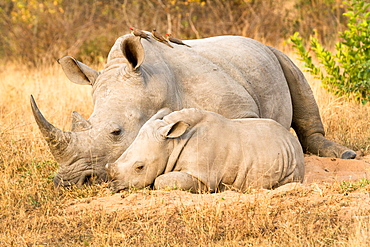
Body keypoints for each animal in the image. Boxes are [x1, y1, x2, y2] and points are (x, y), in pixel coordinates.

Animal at [105, 108, 304, 193]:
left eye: (140, 167)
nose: (113, 187)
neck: (172, 143)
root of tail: (291, 139)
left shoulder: (203, 175)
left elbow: (161, 180)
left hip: (293, 161)